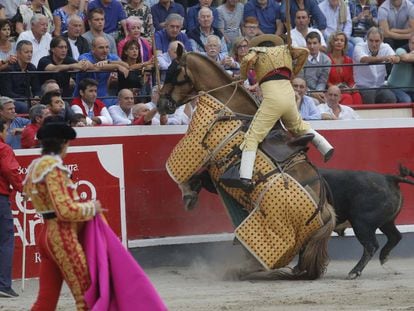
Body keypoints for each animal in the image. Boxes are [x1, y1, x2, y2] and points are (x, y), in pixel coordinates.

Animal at [158, 50, 336, 280]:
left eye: (174, 71)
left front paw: (188, 193)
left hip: (270, 229)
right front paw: (191, 193)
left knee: (259, 258)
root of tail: (326, 210)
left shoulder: (198, 145)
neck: (230, 108)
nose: (160, 104)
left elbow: (180, 171)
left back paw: (236, 270)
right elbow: (201, 178)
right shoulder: (216, 172)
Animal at [188, 166, 414, 280]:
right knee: (395, 236)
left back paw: (354, 272)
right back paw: (384, 259)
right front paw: (298, 269)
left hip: (362, 223)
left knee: (371, 245)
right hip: (386, 222)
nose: (195, 177)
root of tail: (388, 177)